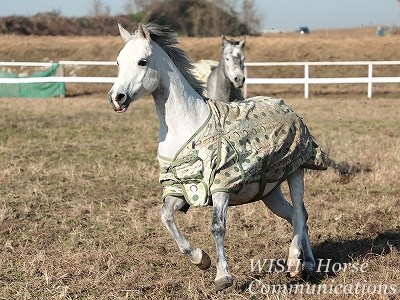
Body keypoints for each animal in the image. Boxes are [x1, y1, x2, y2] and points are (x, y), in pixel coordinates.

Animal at [108, 24, 326, 292]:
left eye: (142, 61)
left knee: (298, 214)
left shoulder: (222, 187)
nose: (116, 98)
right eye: (118, 62)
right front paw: (200, 259)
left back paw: (296, 262)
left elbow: (217, 228)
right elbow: (166, 217)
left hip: (295, 172)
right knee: (298, 215)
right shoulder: (180, 190)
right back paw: (308, 263)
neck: (188, 125)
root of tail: (287, 108)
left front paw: (223, 277)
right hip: (270, 192)